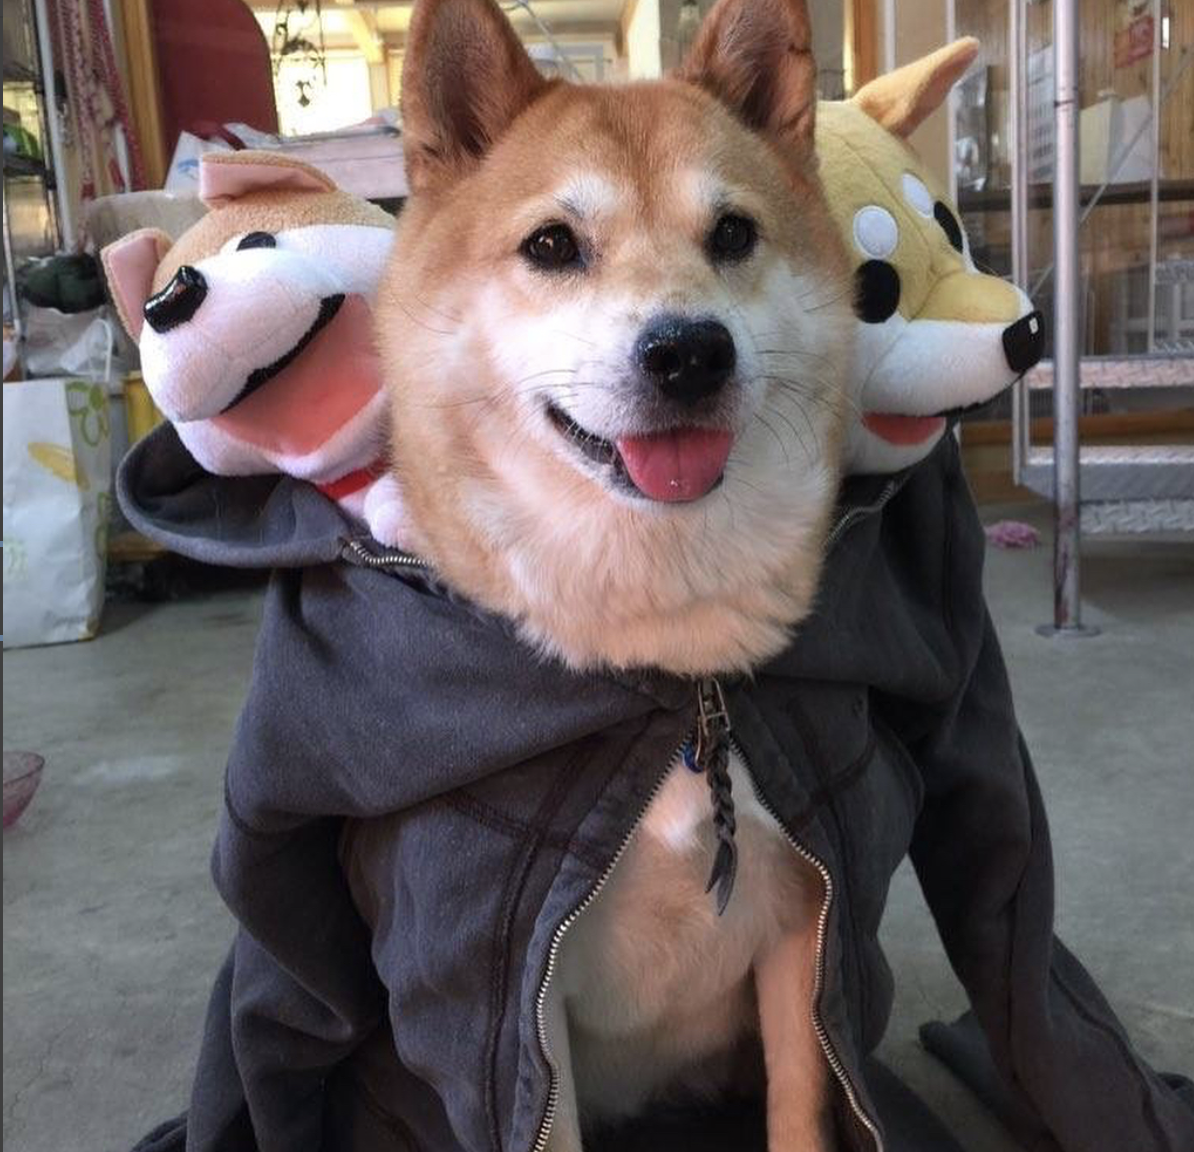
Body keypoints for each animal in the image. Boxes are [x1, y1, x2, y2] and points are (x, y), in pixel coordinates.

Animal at [377, 0, 854, 1141]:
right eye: (552, 245)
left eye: (733, 234)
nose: (689, 351)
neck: (665, 664)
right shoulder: (520, 999)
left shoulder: (801, 919)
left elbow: (801, 1104)